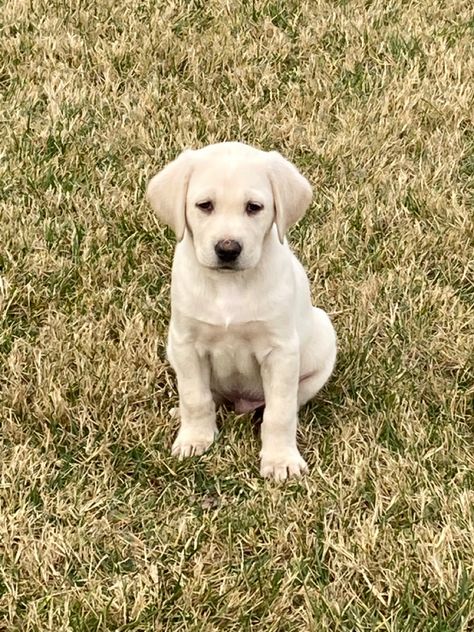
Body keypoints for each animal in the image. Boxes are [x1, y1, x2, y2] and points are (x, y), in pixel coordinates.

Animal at [148, 142, 336, 478]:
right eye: (204, 205)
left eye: (254, 207)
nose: (227, 249)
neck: (229, 286)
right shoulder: (186, 344)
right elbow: (195, 397)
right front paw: (195, 439)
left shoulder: (280, 352)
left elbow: (280, 412)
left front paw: (280, 460)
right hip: (172, 345)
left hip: (322, 339)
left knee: (288, 402)